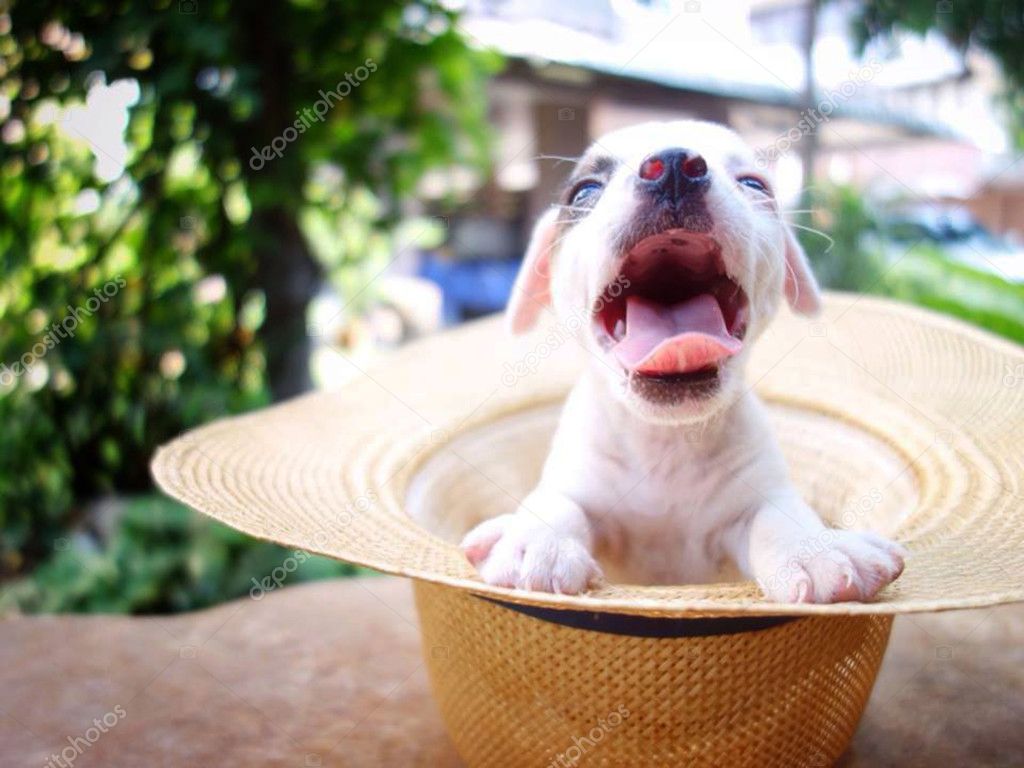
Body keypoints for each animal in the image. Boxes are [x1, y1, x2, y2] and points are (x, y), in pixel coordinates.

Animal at [462, 120, 905, 606]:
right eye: (584, 191)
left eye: (755, 185)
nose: (673, 165)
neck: (667, 442)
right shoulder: (579, 482)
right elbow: (558, 502)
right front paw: (537, 543)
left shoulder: (754, 498)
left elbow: (778, 513)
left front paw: (815, 549)